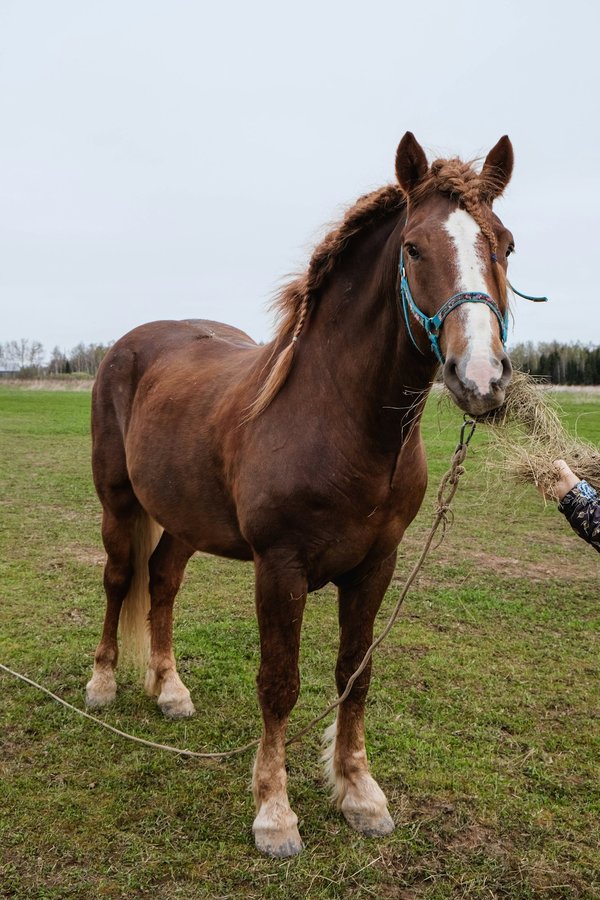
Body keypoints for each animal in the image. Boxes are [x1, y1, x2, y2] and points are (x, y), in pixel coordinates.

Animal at [86, 132, 516, 857]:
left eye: (506, 245)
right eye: (413, 248)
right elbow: (279, 685)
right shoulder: (279, 568)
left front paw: (360, 794)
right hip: (119, 503)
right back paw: (103, 683)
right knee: (121, 580)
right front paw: (275, 814)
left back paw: (170, 691)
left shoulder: (376, 566)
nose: (479, 377)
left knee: (162, 581)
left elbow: (354, 673)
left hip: (184, 519)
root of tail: (131, 344)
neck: (338, 417)